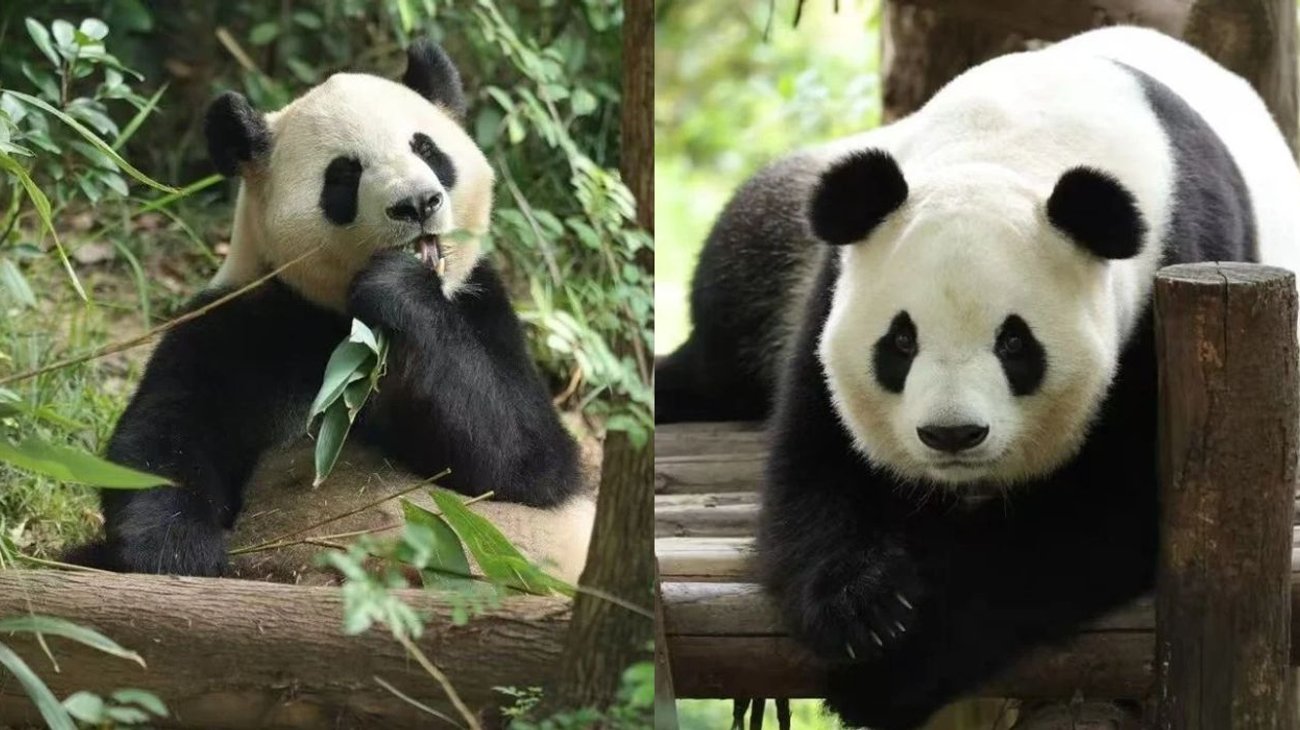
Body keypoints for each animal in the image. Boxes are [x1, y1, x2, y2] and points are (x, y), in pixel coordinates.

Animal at [69, 39, 595, 580]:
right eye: (344, 173)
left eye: (427, 149)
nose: (417, 203)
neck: (343, 320)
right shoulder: (245, 318)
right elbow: (163, 441)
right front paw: (179, 555)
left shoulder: (479, 303)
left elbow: (527, 462)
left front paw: (399, 287)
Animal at [656, 27, 1300, 729]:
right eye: (900, 341)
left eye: (1015, 343)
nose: (952, 435)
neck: (1007, 148)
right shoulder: (836, 279)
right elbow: (818, 459)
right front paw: (862, 608)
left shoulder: (1168, 283)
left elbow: (1097, 517)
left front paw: (884, 676)